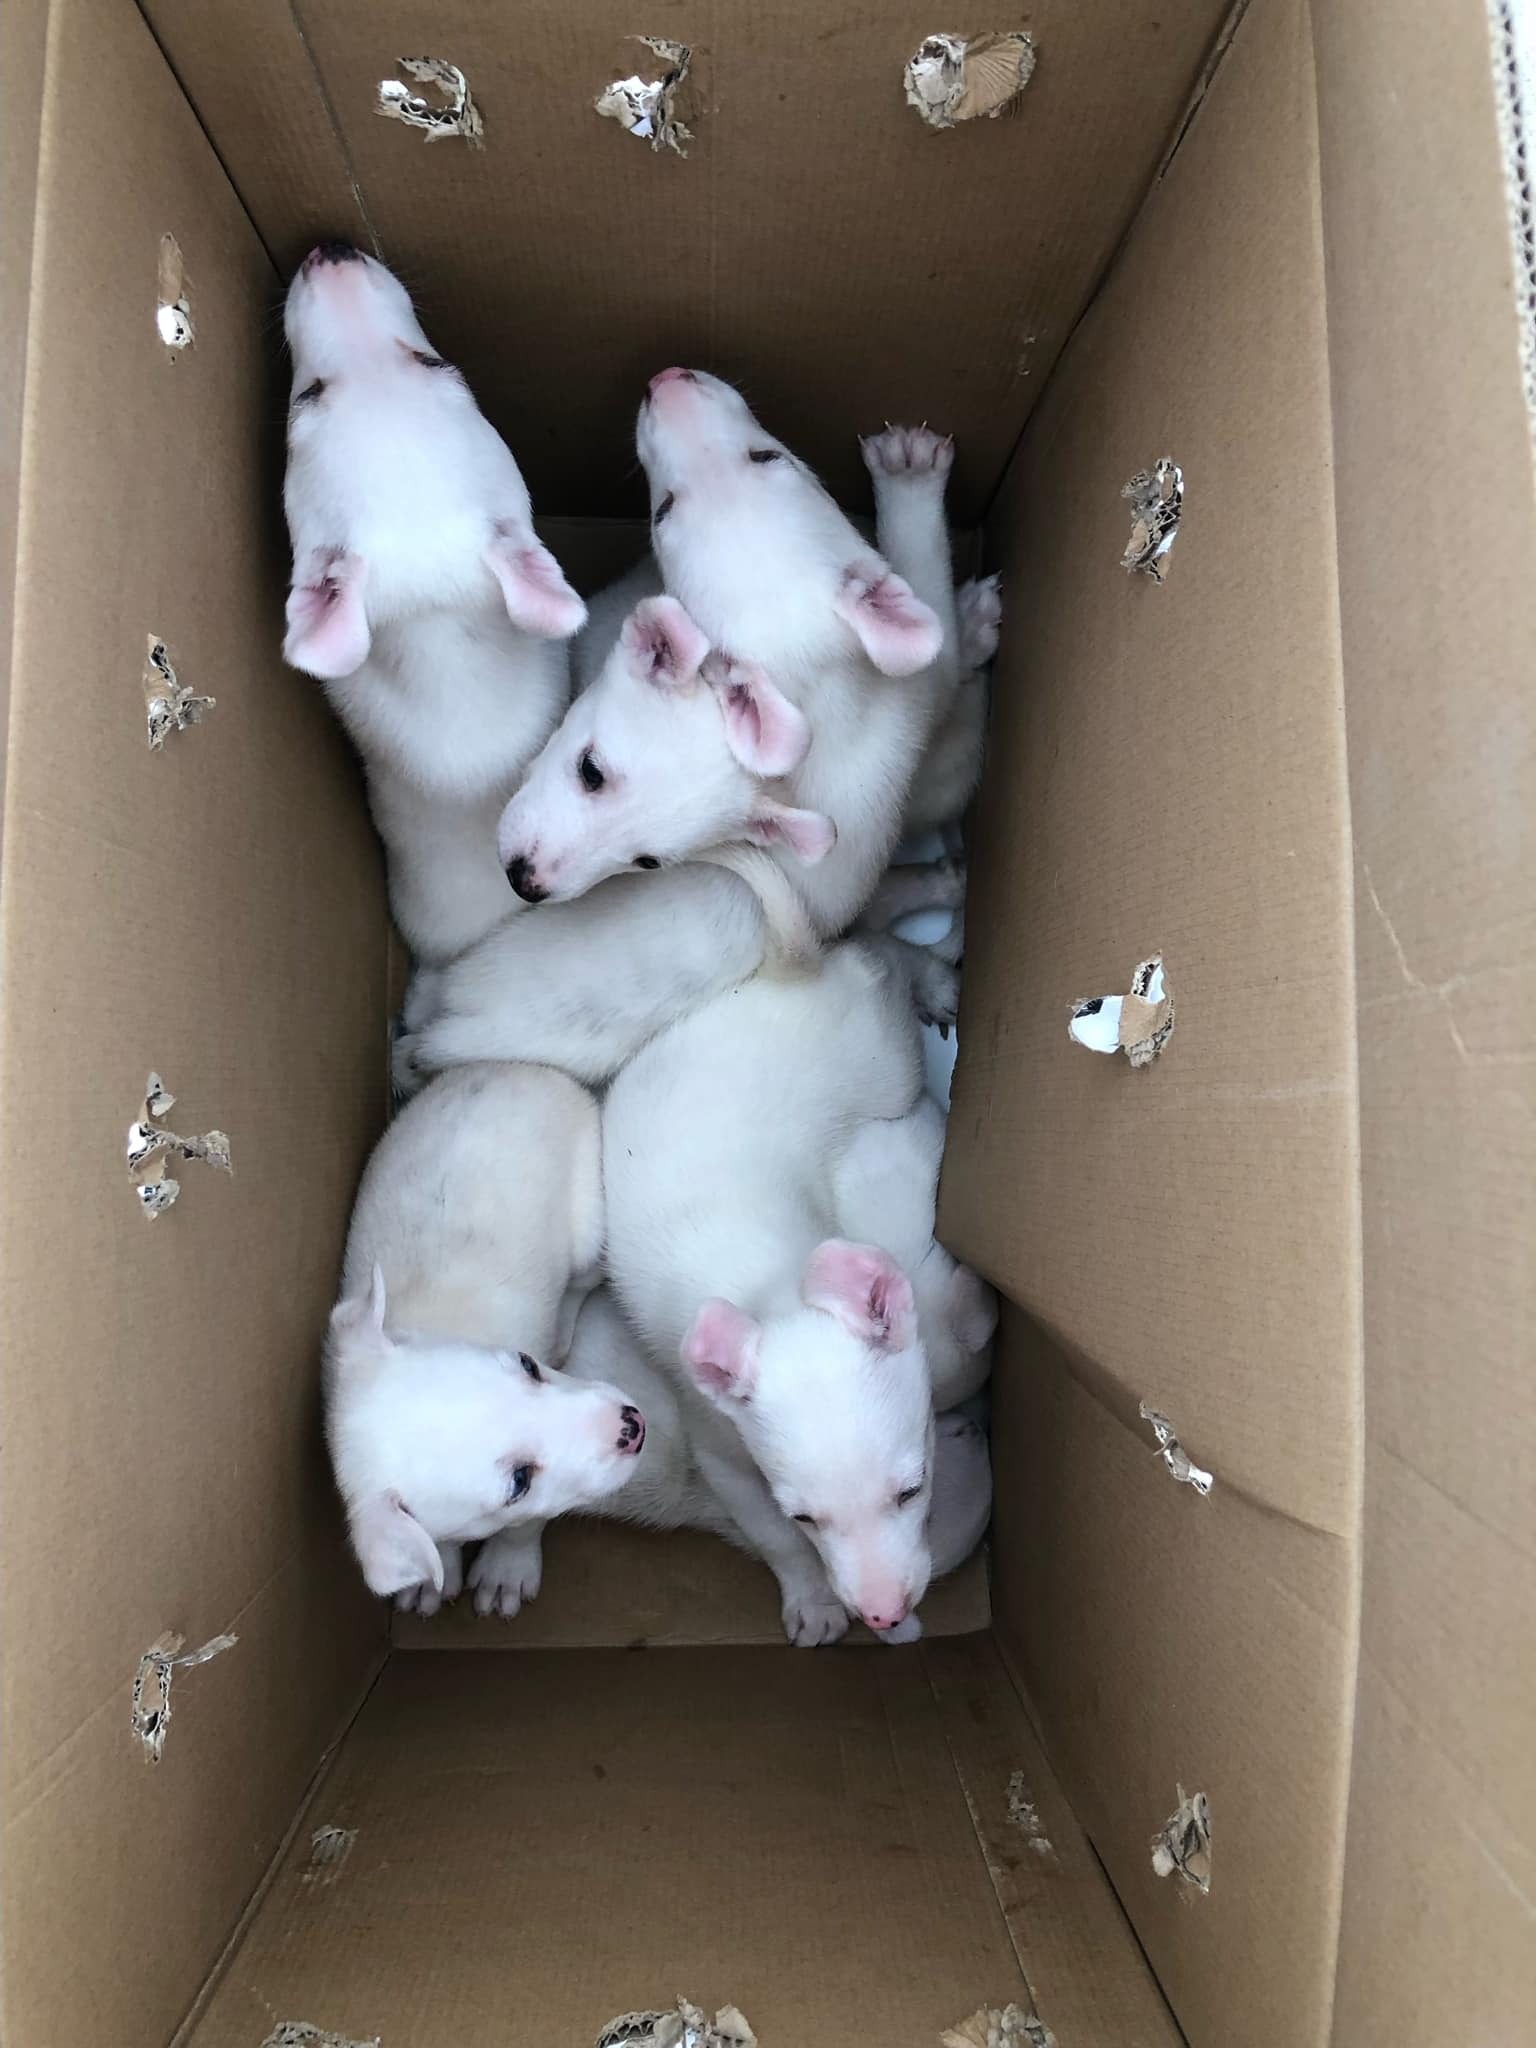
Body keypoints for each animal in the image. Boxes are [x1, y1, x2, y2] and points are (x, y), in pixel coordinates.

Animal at [325, 1064, 643, 1605]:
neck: (436, 1322)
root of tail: (518, 1066)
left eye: (528, 1364)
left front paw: (507, 1568)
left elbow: (525, 1526)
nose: (633, 1424)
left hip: (589, 1220)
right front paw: (434, 1576)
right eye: (518, 1481)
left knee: (583, 1279)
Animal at [602, 942, 999, 1646]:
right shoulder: (721, 1440)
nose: (882, 1614)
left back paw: (933, 983)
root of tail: (794, 969)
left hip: (887, 1059)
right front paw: (812, 1598)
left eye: (913, 1489)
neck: (770, 1286)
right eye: (806, 1516)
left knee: (888, 957)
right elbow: (765, 1528)